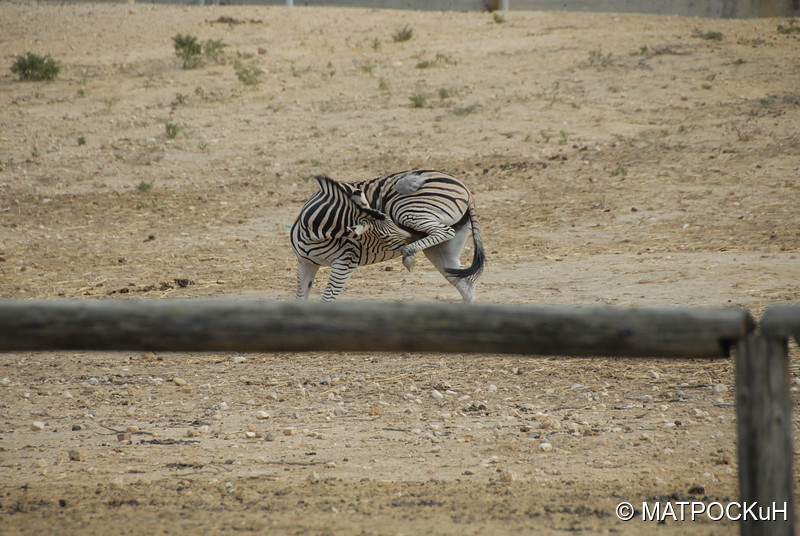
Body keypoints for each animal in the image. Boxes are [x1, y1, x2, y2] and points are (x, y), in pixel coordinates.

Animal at [290, 170, 484, 302]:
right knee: (466, 284)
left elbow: (328, 298)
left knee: (444, 231)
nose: (411, 237)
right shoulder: (305, 264)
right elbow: (300, 298)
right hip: (442, 252)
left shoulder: (345, 263)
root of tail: (465, 188)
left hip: (407, 209)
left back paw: (409, 253)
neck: (313, 234)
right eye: (384, 237)